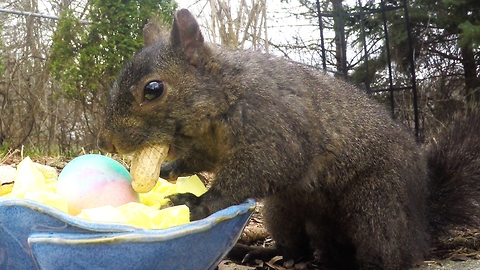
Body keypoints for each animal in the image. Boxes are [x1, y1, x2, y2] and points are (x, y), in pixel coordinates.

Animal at [96, 8, 480, 270]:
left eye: (153, 89)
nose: (105, 143)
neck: (223, 95)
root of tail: (422, 221)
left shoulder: (274, 127)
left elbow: (258, 170)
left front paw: (197, 203)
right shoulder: (208, 146)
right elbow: (202, 161)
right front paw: (170, 169)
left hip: (378, 202)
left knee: (389, 252)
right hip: (282, 209)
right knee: (297, 248)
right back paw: (259, 252)